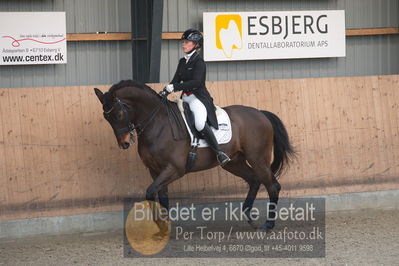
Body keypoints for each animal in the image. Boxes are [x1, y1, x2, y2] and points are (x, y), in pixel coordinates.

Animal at [93, 79, 294, 231]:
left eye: (119, 114)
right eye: (106, 117)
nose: (124, 143)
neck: (157, 123)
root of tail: (260, 113)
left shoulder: (174, 169)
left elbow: (150, 192)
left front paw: (160, 224)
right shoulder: (155, 170)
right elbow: (160, 197)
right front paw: (164, 228)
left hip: (258, 159)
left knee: (272, 186)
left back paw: (268, 225)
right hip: (234, 162)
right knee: (254, 180)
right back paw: (249, 216)